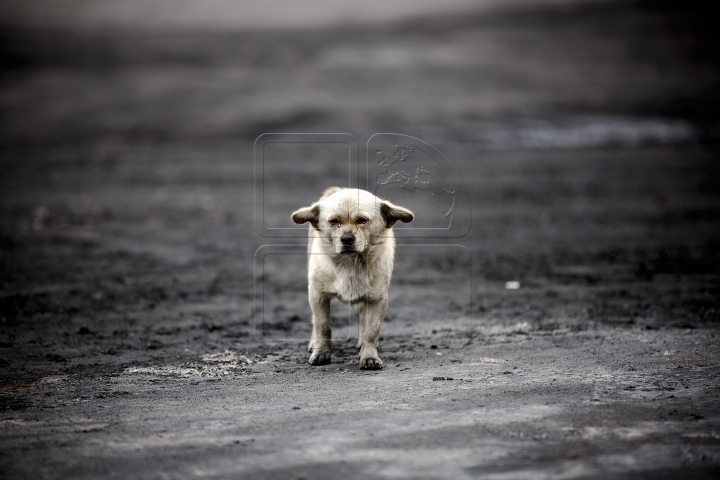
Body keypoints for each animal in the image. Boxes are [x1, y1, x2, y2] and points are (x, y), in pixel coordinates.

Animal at [292, 187, 414, 368]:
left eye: (362, 220)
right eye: (334, 221)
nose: (347, 239)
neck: (351, 263)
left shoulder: (378, 299)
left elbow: (372, 330)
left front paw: (369, 355)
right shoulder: (317, 295)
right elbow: (322, 326)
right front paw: (321, 353)